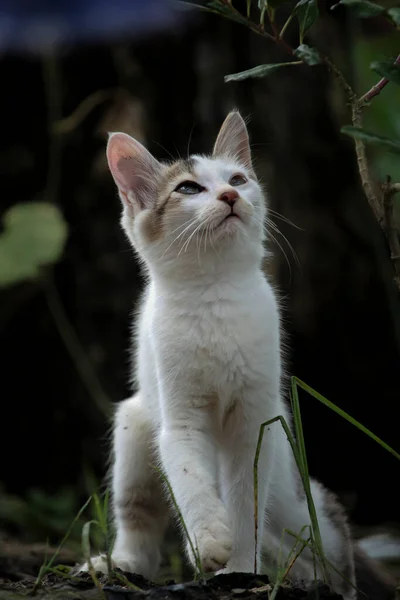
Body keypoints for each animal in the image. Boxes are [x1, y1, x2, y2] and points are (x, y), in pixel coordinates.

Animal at [79, 110, 396, 596]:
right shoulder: (180, 421)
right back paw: (120, 564)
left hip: (298, 500)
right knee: (139, 517)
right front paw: (210, 540)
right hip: (134, 423)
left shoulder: (255, 422)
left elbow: (246, 501)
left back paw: (310, 575)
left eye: (238, 179)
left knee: (327, 539)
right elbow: (189, 480)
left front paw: (241, 569)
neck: (215, 296)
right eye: (188, 188)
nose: (230, 195)